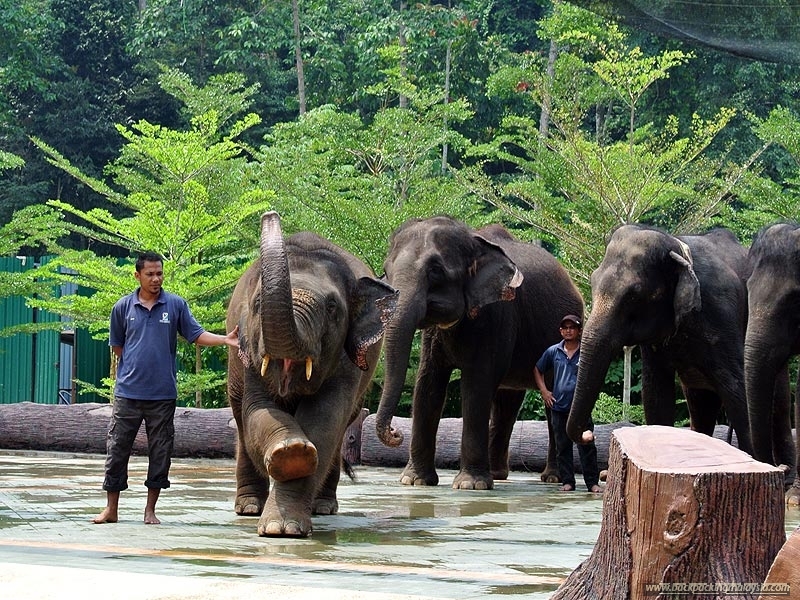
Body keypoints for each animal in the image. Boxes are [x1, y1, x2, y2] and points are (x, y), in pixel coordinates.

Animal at [223, 209, 398, 536]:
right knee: (241, 423)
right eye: (257, 304)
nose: (270, 213)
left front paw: (284, 528)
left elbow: (323, 421)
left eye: (332, 307)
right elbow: (260, 410)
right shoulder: (250, 355)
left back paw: (324, 508)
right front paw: (290, 449)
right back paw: (248, 508)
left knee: (340, 433)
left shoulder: (346, 361)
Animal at [376, 218, 580, 490]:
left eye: (435, 270)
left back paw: (551, 478)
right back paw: (497, 474)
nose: (395, 433)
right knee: (507, 402)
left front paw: (470, 485)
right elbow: (428, 385)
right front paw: (415, 481)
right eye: (386, 270)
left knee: (550, 404)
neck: (474, 241)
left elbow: (477, 385)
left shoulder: (496, 315)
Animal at [564, 225, 752, 454]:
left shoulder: (721, 316)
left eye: (633, 296)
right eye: (592, 281)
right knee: (702, 406)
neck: (677, 245)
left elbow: (738, 391)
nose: (588, 434)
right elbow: (656, 395)